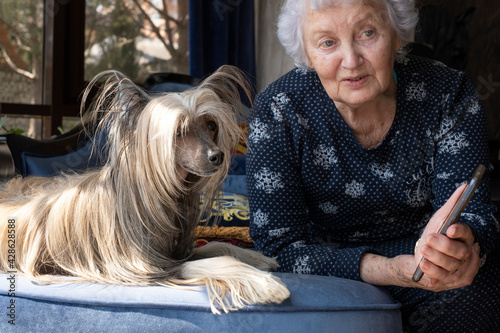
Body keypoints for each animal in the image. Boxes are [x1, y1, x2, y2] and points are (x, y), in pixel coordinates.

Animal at [0, 66, 290, 312]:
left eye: (211, 125)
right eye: (179, 131)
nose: (217, 156)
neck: (155, 195)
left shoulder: (174, 251)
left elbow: (215, 246)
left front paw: (257, 258)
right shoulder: (142, 267)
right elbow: (209, 262)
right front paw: (265, 283)